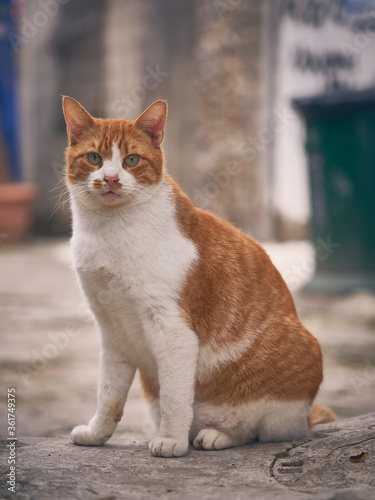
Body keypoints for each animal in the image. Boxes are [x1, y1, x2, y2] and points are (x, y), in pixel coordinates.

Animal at [63, 96, 336, 458]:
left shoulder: (173, 331)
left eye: (131, 160)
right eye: (94, 158)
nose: (110, 179)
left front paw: (171, 441)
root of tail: (305, 418)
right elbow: (108, 395)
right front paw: (97, 434)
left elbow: (175, 397)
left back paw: (216, 435)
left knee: (256, 430)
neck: (109, 231)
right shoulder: (112, 332)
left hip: (295, 365)